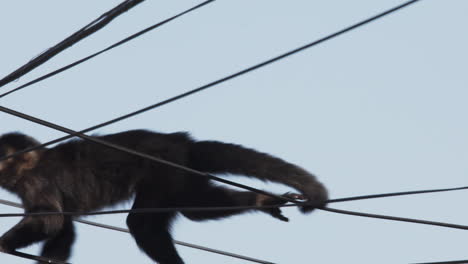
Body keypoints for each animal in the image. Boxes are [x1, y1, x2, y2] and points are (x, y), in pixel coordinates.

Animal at [0, 130, 330, 264]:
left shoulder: (36, 181)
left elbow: (51, 220)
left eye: (2, 157)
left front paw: (2, 244)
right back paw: (261, 202)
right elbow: (63, 229)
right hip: (182, 172)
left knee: (142, 223)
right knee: (195, 208)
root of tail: (182, 142)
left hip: (163, 167)